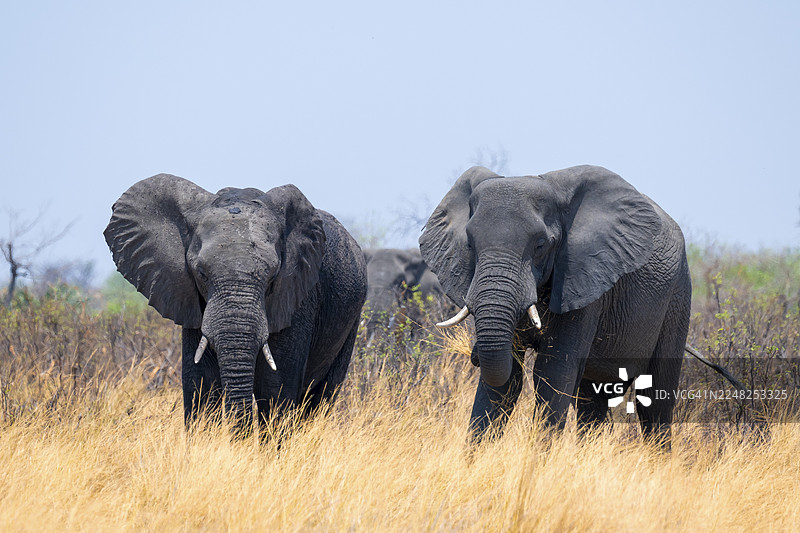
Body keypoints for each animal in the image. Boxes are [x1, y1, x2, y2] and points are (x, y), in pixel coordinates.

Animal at [104, 174, 367, 432]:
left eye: (273, 276)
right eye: (201, 273)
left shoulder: (298, 297)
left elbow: (275, 387)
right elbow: (201, 381)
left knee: (320, 396)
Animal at [420, 165, 693, 444]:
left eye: (541, 245)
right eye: (469, 245)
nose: (473, 356)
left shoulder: (582, 276)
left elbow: (552, 371)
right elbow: (507, 379)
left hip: (678, 296)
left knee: (656, 400)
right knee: (592, 399)